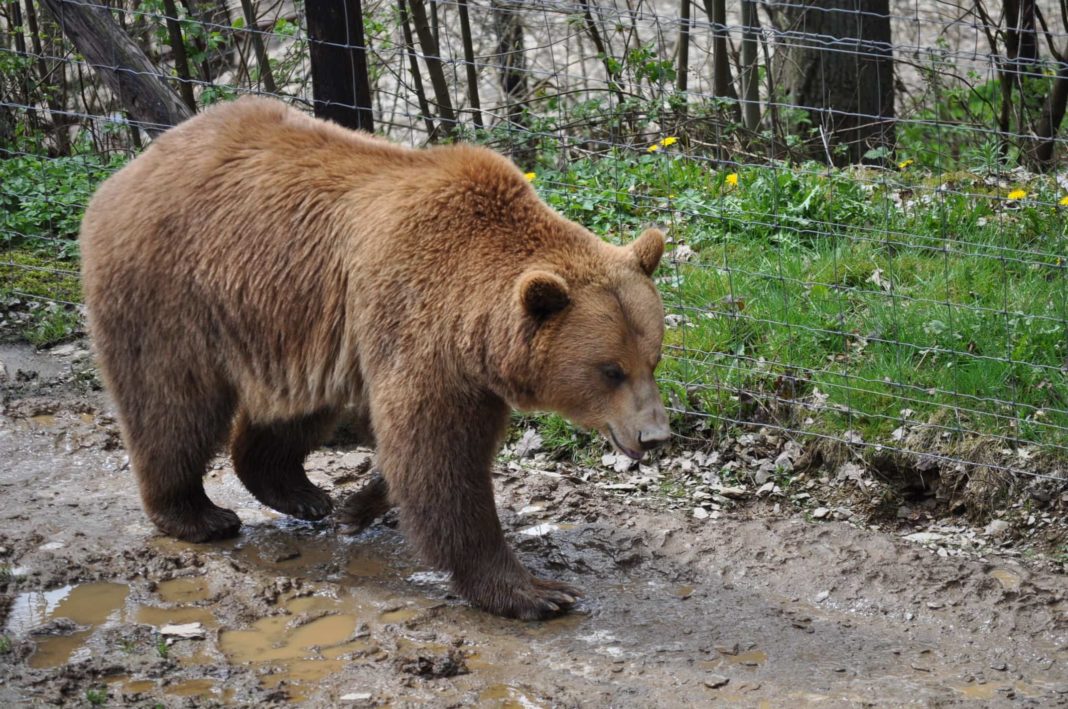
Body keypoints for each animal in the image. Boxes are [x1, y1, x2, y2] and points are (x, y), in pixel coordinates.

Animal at [81, 97, 666, 619]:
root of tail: (129, 169)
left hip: (292, 323)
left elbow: (423, 453)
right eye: (610, 370)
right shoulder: (419, 326)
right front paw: (534, 591)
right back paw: (198, 514)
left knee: (292, 410)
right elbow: (437, 457)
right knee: (172, 403)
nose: (655, 435)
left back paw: (300, 494)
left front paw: (356, 507)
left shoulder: (460, 368)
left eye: (654, 359)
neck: (475, 323)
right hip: (171, 289)